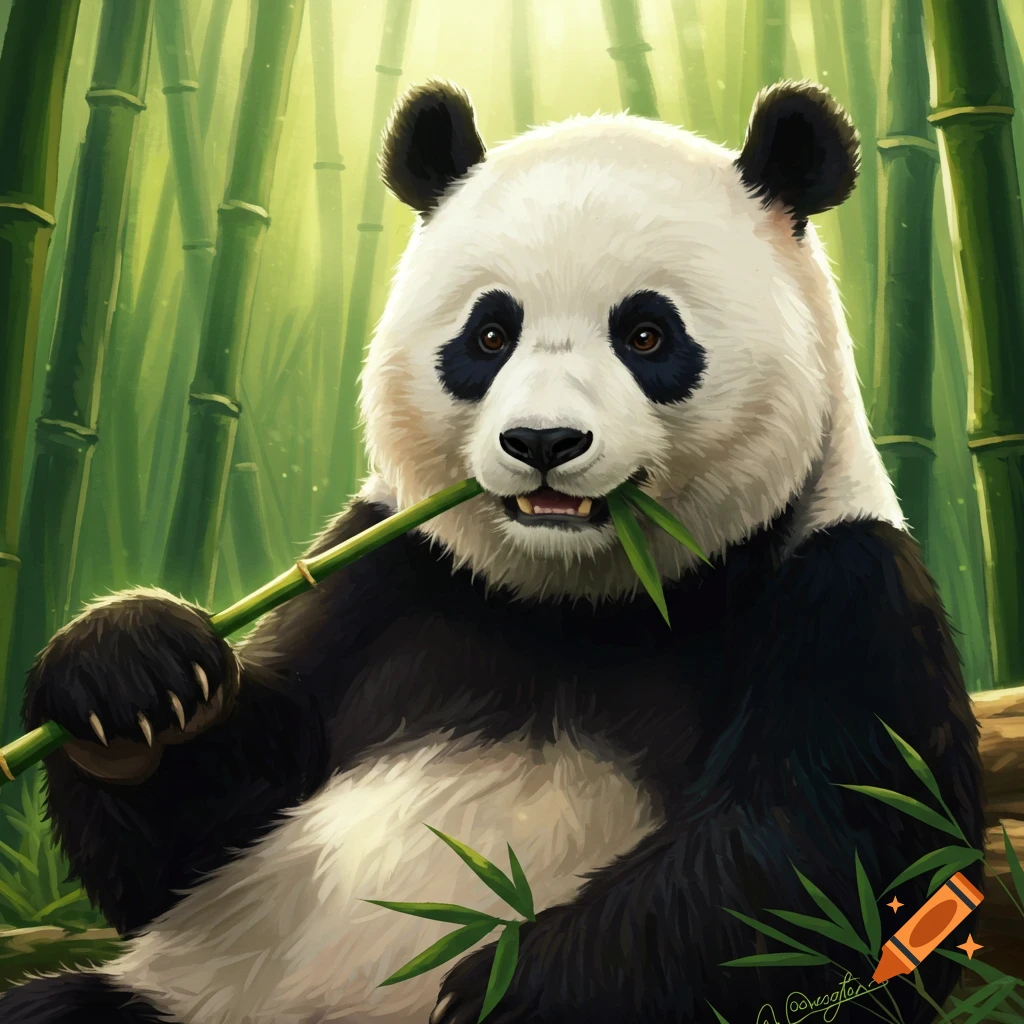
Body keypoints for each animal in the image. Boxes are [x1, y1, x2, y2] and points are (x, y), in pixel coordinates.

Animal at [2, 79, 983, 1024]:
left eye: (647, 334)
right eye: (488, 335)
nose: (544, 441)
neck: (583, 600)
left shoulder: (846, 593)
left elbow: (827, 872)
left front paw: (505, 984)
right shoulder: (385, 571)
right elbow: (195, 839)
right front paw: (134, 679)